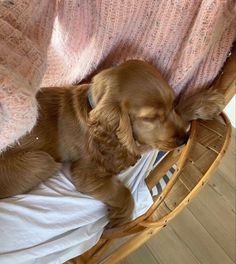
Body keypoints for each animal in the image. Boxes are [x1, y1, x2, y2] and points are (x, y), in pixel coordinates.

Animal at [0, 60, 224, 226]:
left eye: (171, 103)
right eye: (150, 118)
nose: (183, 139)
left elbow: (179, 114)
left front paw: (206, 103)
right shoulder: (87, 173)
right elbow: (122, 191)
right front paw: (121, 217)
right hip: (42, 160)